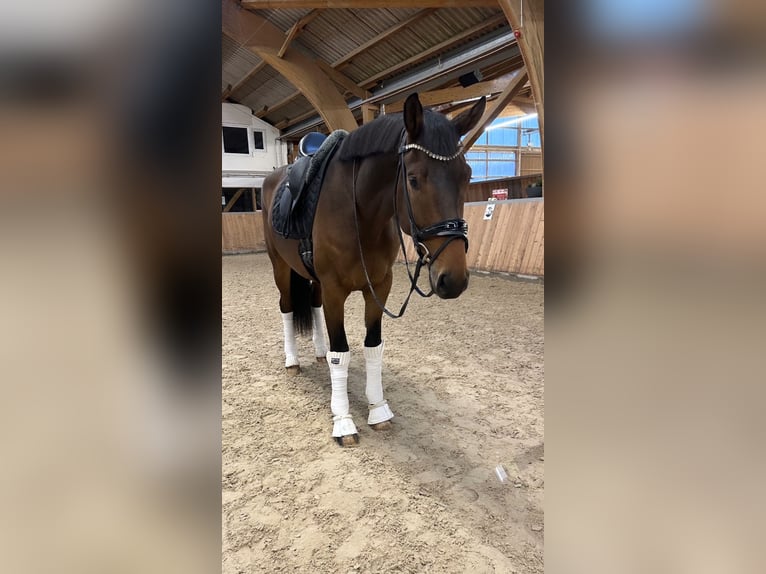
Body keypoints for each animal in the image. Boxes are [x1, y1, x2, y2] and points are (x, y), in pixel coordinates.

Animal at [260, 94, 484, 448]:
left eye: (467, 175)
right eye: (413, 180)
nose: (454, 279)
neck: (360, 212)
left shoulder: (379, 287)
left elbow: (373, 347)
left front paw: (378, 410)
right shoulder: (336, 290)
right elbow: (341, 353)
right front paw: (343, 421)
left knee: (313, 305)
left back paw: (317, 352)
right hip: (280, 268)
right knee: (286, 307)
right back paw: (292, 361)